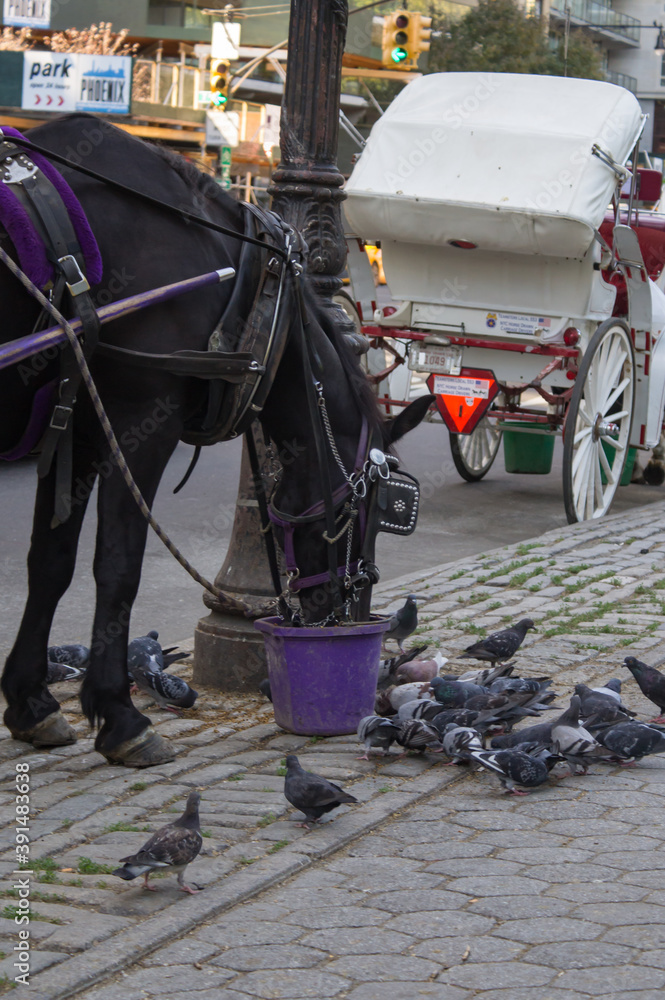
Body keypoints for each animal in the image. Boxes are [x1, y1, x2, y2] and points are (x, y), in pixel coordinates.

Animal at [0, 115, 430, 764]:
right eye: (368, 510)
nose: (345, 612)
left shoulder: (74, 421)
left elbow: (50, 561)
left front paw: (29, 702)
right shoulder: (139, 422)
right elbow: (118, 566)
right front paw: (120, 717)